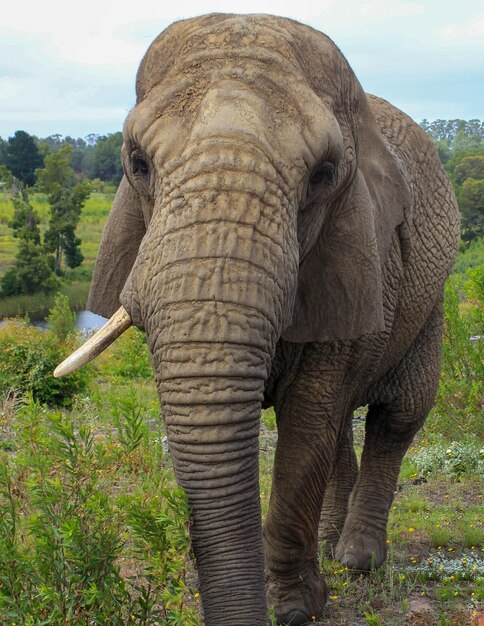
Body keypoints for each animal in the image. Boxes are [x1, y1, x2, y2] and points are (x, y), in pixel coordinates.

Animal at [54, 13, 460, 624]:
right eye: (137, 164)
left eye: (324, 175)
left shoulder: (364, 253)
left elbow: (309, 423)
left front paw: (295, 609)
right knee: (342, 425)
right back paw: (332, 548)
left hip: (428, 298)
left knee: (396, 415)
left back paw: (358, 560)